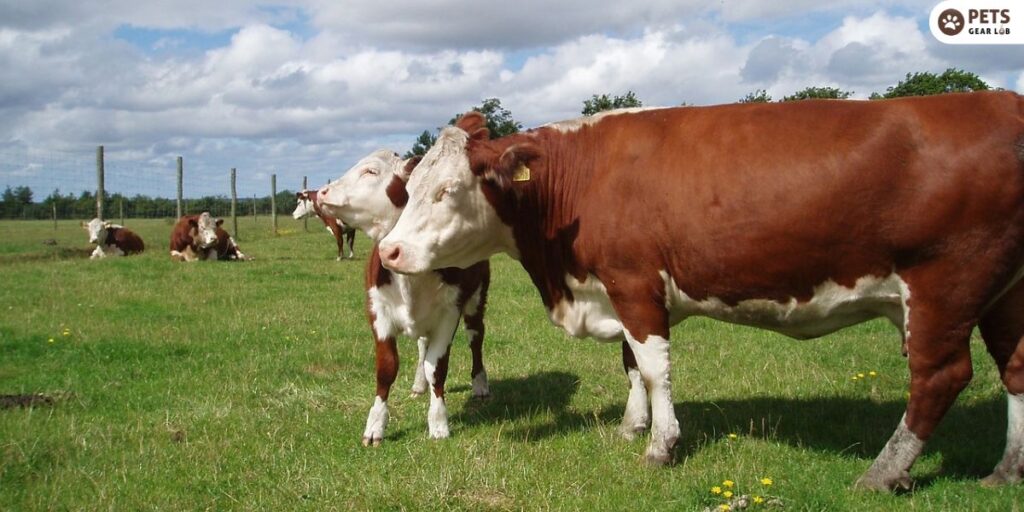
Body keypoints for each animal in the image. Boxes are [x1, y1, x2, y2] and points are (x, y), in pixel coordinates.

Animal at [317, 149, 489, 448]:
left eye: (371, 171)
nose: (321, 192)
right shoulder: (378, 312)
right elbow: (387, 368)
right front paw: (375, 425)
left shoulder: (449, 313)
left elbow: (437, 367)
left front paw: (438, 422)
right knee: (422, 346)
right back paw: (419, 385)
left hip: (476, 298)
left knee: (475, 337)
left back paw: (479, 383)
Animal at [376, 93, 1024, 491]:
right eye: (408, 188)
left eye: (448, 191)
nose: (390, 252)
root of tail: (1000, 101)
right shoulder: (621, 290)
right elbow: (631, 364)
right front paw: (632, 425)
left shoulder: (635, 282)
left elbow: (654, 367)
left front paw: (661, 445)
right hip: (1004, 295)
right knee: (1013, 368)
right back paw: (1006, 469)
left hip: (945, 284)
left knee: (941, 377)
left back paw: (883, 472)